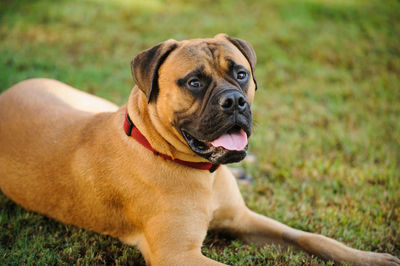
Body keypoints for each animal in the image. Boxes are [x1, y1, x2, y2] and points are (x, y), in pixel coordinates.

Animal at [0, 34, 398, 264]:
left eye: (240, 73)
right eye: (194, 82)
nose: (234, 101)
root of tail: (11, 90)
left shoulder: (243, 219)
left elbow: (310, 237)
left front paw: (372, 258)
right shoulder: (178, 254)